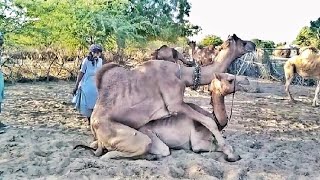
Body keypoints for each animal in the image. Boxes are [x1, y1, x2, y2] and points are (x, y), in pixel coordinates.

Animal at [79, 34, 255, 161]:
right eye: (242, 41)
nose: (253, 44)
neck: (182, 75)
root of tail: (94, 123)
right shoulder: (175, 104)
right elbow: (209, 121)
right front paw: (231, 154)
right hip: (114, 131)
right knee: (124, 150)